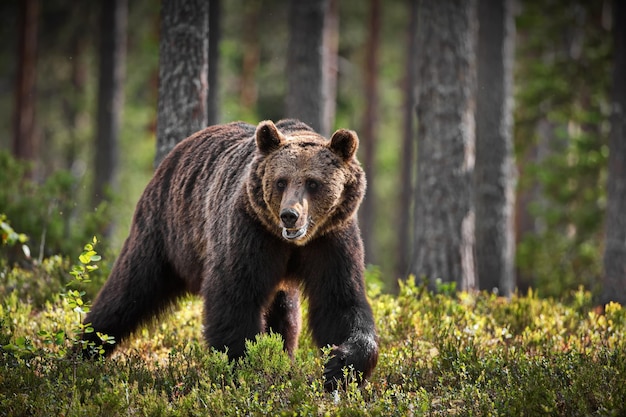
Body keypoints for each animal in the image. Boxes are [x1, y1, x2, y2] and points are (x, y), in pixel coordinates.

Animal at [82, 119, 376, 390]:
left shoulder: (331, 240)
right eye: (281, 181)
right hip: (164, 232)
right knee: (129, 290)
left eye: (313, 183)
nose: (289, 215)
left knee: (285, 314)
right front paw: (246, 366)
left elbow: (339, 302)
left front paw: (340, 365)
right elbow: (235, 297)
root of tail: (174, 155)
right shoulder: (249, 230)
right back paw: (86, 347)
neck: (291, 244)